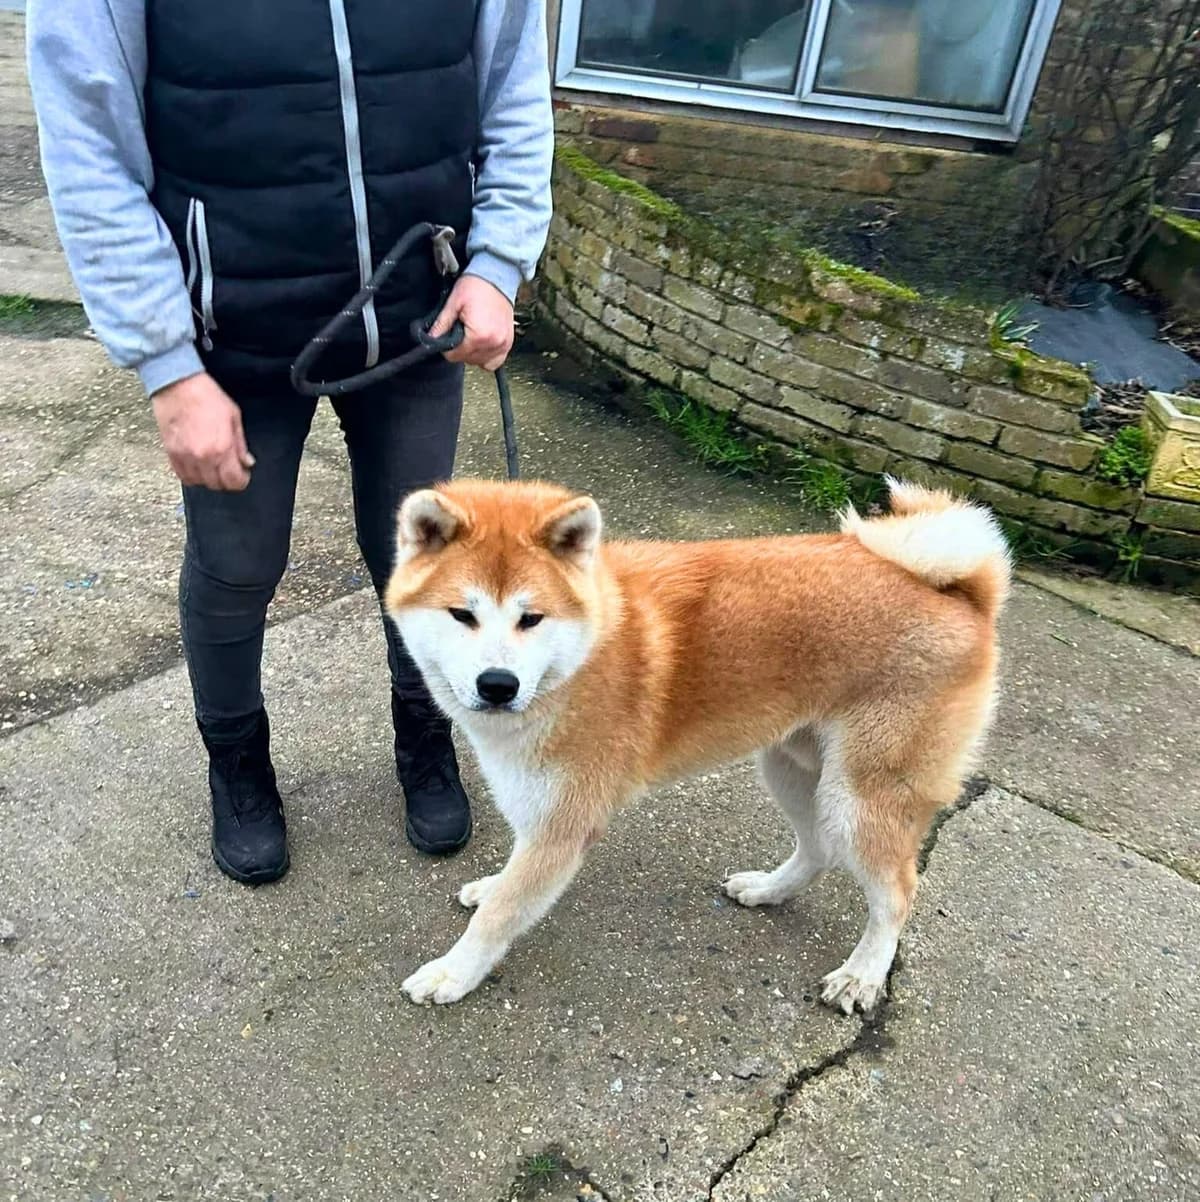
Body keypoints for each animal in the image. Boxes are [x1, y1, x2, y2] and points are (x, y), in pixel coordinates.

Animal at [384, 476, 1010, 1012]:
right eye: (462, 614)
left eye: (531, 618)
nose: (499, 684)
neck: (579, 658)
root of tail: (963, 595)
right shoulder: (539, 808)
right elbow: (509, 883)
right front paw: (491, 888)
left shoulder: (565, 822)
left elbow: (502, 913)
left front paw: (453, 972)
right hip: (793, 767)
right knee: (817, 849)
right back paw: (769, 890)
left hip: (860, 797)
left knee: (898, 892)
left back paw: (864, 973)